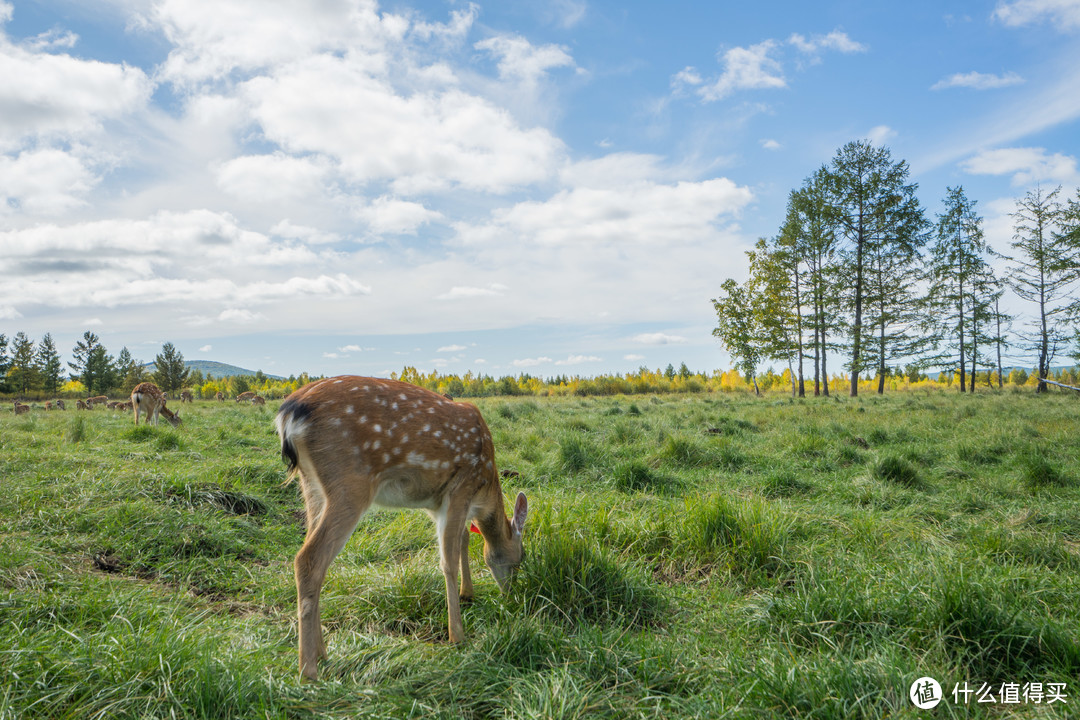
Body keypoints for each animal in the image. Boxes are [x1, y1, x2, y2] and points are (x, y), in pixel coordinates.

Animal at [276, 377, 529, 682]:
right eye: (521, 556)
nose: (511, 594)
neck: (485, 489)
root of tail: (289, 414)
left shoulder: (437, 503)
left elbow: (463, 540)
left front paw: (468, 594)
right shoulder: (461, 486)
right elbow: (448, 561)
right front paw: (457, 636)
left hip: (312, 487)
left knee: (317, 560)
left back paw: (322, 653)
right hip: (350, 483)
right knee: (308, 559)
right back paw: (308, 670)